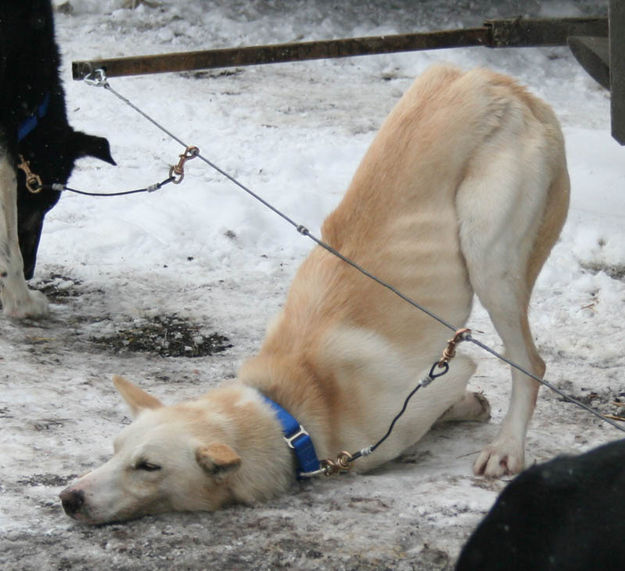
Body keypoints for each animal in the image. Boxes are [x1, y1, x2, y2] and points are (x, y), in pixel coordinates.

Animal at [61, 65, 568, 524]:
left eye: (148, 466)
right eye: (114, 450)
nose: (69, 497)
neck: (293, 408)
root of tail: (492, 80)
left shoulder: (440, 378)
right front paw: (469, 406)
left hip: (490, 262)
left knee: (530, 364)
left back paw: (507, 446)